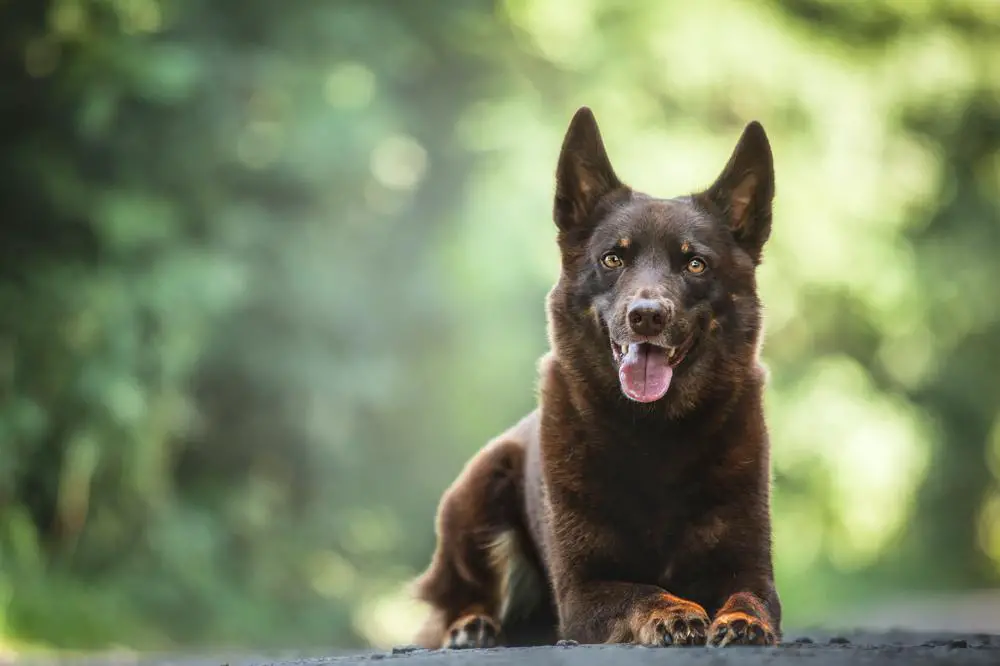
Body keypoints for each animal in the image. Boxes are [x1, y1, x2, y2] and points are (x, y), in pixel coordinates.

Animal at [412, 107, 780, 648]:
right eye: (613, 258)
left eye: (695, 263)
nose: (646, 316)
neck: (655, 435)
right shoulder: (583, 589)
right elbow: (641, 591)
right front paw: (673, 611)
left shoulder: (750, 566)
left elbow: (752, 595)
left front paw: (743, 620)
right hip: (478, 491)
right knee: (459, 595)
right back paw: (472, 625)